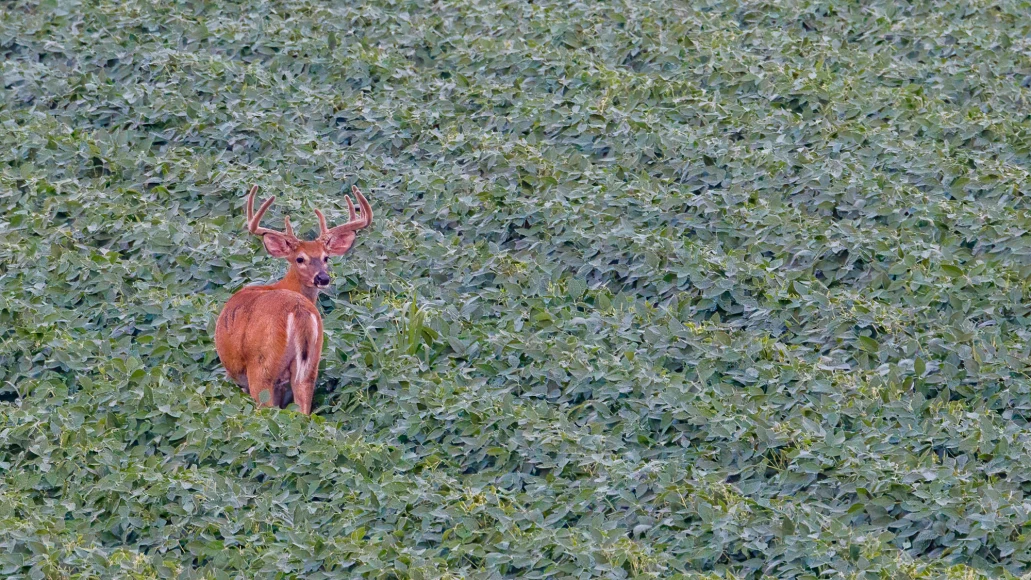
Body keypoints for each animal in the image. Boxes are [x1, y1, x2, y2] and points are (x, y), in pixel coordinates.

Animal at [211, 183, 373, 416]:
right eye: (300, 259)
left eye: (326, 257)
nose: (323, 278)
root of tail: (298, 310)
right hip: (310, 367)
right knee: (303, 411)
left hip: (261, 368)